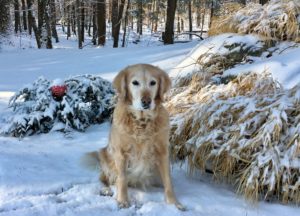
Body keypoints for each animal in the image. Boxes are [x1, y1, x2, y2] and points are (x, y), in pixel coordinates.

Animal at [83, 63, 184, 210]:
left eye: (153, 82)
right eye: (135, 82)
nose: (146, 101)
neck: (141, 122)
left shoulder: (163, 152)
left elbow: (168, 181)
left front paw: (174, 203)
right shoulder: (120, 153)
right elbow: (122, 179)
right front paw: (123, 201)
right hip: (104, 154)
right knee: (105, 178)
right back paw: (107, 190)